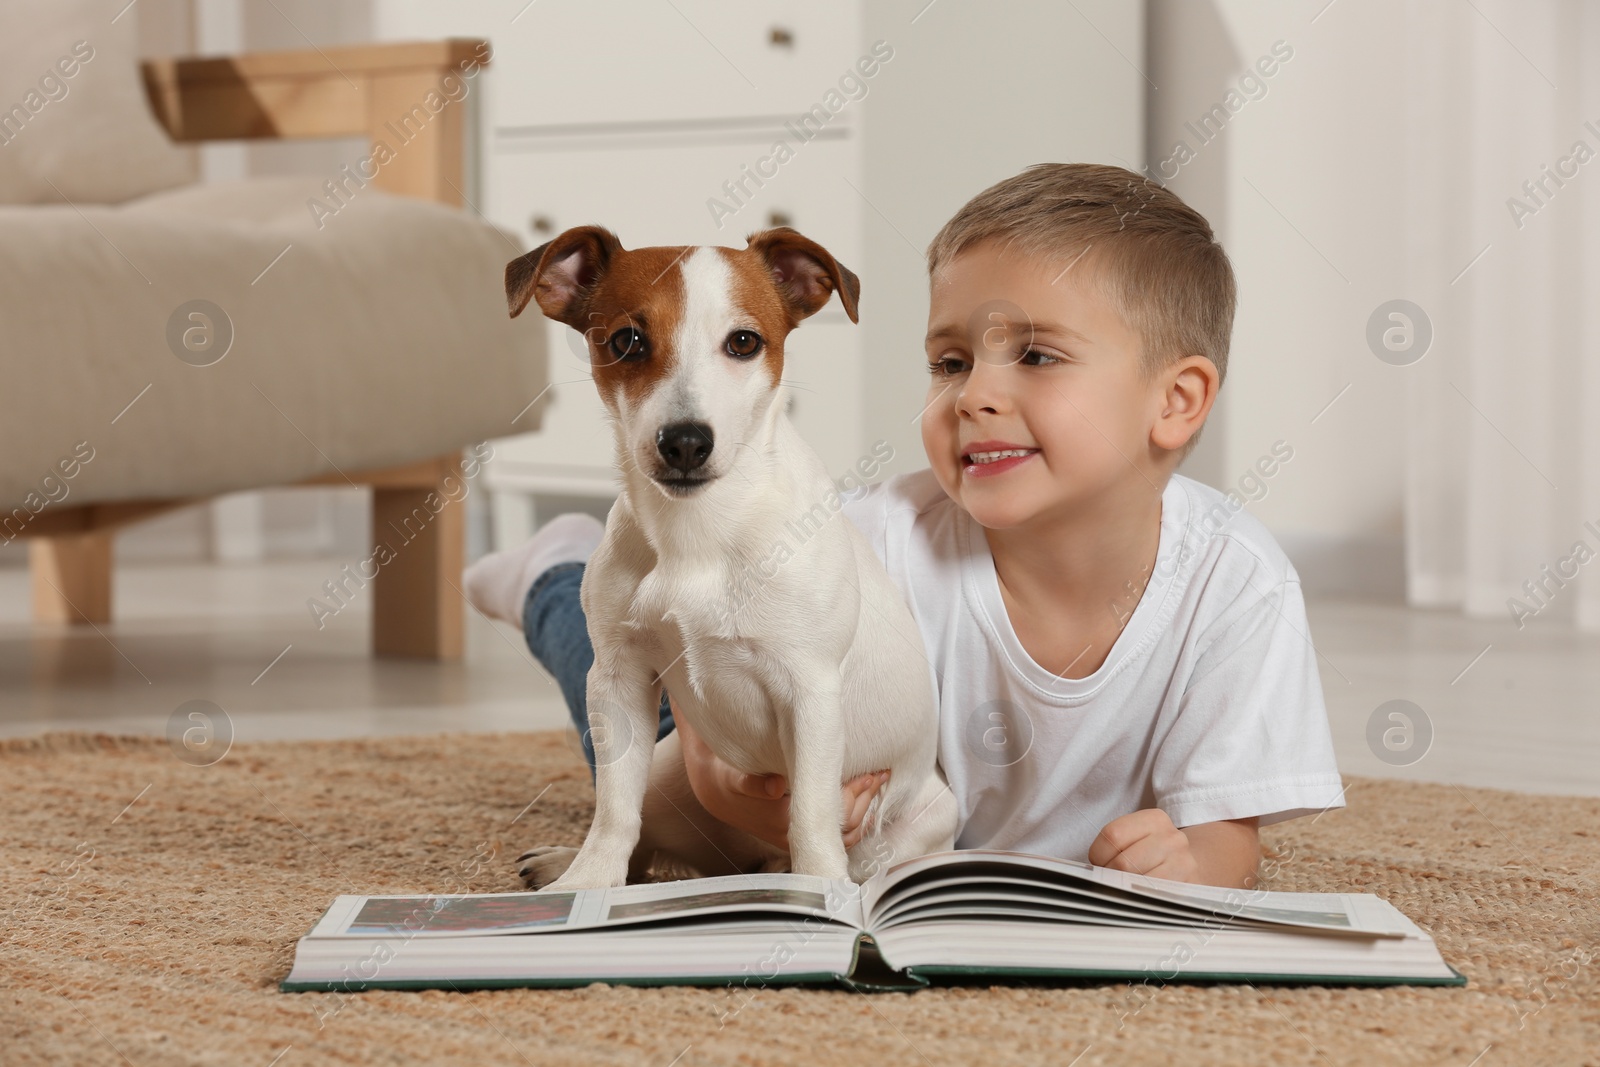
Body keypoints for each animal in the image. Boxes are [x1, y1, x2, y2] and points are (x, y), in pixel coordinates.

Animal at [502, 220, 947, 889]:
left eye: (743, 342)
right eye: (627, 341)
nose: (686, 442)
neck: (699, 533)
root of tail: (741, 860)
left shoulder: (810, 690)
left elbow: (810, 815)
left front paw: (821, 891)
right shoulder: (617, 679)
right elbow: (615, 808)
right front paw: (588, 884)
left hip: (920, 820)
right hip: (668, 768)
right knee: (646, 834)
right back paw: (566, 864)